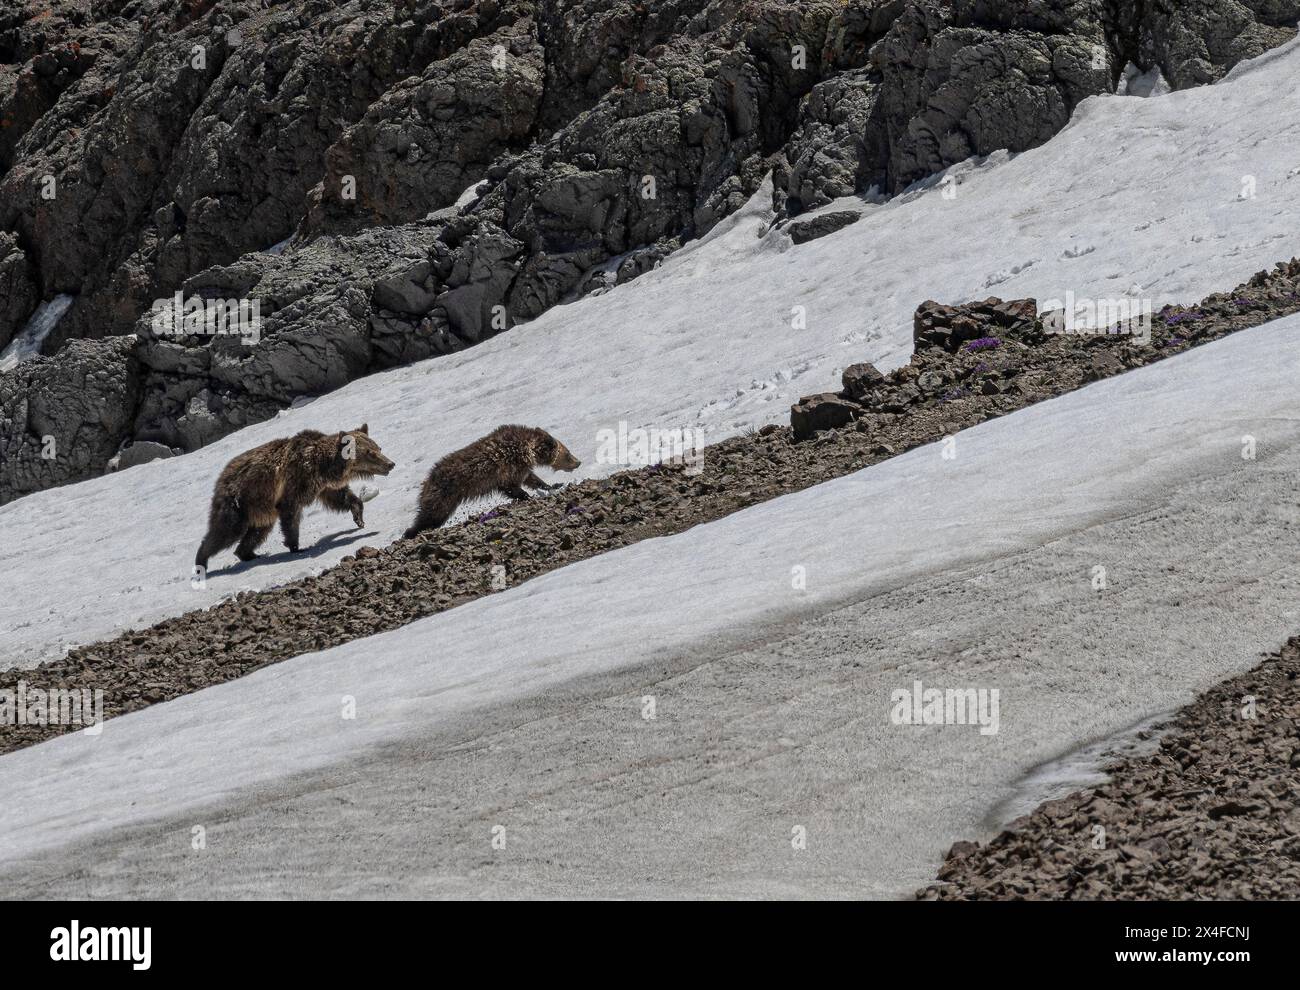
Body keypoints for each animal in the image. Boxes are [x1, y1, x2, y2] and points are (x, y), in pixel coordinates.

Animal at [195, 423, 392, 566]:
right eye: (370, 453)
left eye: (378, 448)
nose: (391, 464)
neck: (324, 466)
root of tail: (222, 476)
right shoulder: (297, 482)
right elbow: (291, 513)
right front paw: (296, 546)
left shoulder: (323, 486)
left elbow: (341, 498)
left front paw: (359, 518)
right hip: (240, 501)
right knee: (227, 530)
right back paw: (202, 560)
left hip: (260, 508)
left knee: (258, 531)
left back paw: (249, 554)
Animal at [405, 423, 579, 535]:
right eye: (568, 453)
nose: (578, 462)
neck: (528, 450)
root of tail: (427, 480)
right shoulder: (507, 465)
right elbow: (509, 486)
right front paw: (527, 496)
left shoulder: (520, 467)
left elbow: (531, 479)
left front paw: (553, 485)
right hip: (444, 494)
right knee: (431, 514)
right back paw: (411, 531)